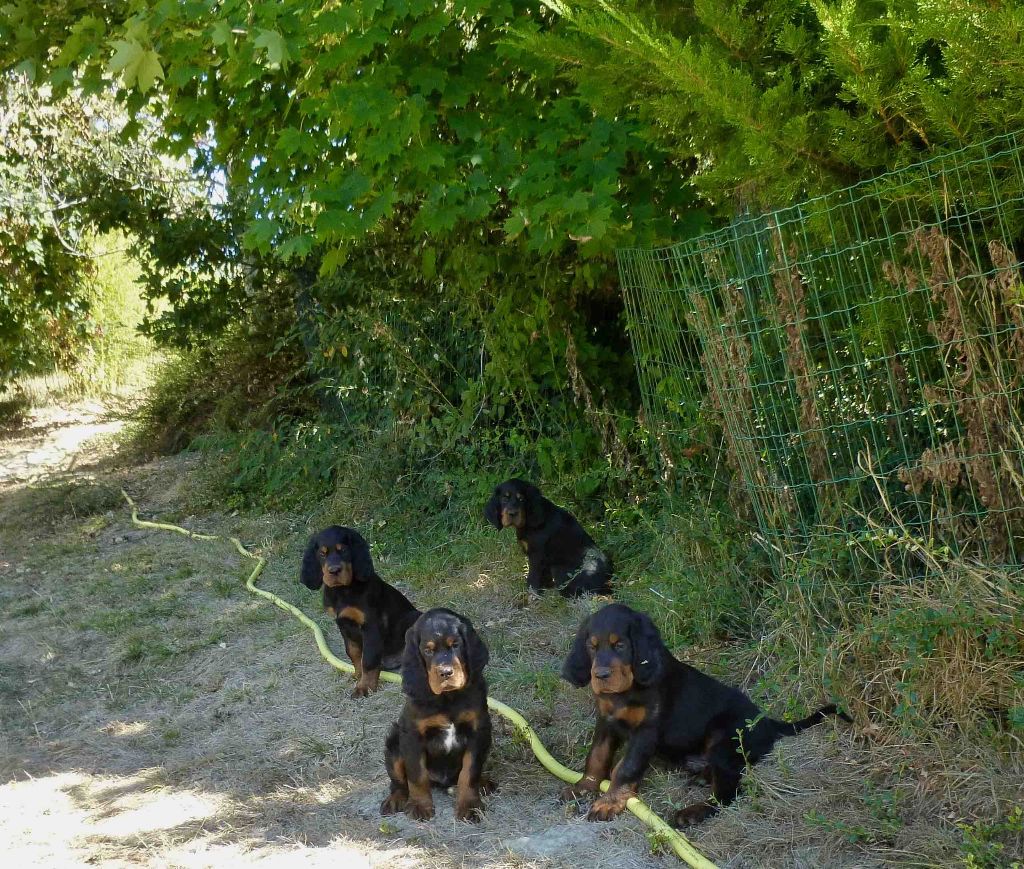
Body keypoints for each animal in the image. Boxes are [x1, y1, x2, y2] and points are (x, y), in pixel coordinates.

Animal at [299, 522, 419, 700]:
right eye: (322, 554)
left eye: (344, 550)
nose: (334, 571)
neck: (343, 591)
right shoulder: (343, 624)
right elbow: (353, 652)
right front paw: (358, 675)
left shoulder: (371, 626)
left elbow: (368, 659)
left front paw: (365, 687)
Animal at [382, 605, 497, 818]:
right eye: (428, 651)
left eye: (456, 645)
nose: (445, 673)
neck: (447, 698)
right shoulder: (412, 735)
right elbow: (416, 775)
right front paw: (420, 806)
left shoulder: (478, 731)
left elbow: (469, 772)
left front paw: (469, 805)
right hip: (394, 741)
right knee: (399, 781)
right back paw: (395, 799)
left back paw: (483, 783)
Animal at [561, 601, 847, 822]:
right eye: (591, 647)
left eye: (620, 645)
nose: (600, 676)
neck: (627, 689)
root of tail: (766, 721)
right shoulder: (606, 721)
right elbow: (597, 755)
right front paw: (584, 786)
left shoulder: (646, 731)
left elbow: (625, 767)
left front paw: (608, 801)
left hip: (724, 737)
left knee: (729, 793)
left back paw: (693, 812)